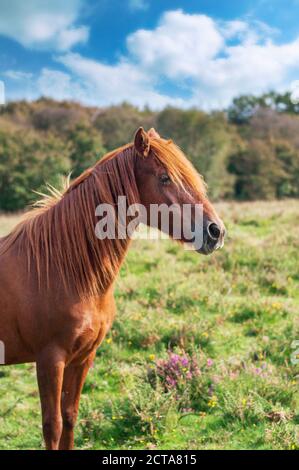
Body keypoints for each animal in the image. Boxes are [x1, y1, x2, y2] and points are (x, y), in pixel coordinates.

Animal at [0, 126, 225, 450]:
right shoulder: (50, 360)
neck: (60, 269)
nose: (215, 231)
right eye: (165, 177)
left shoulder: (83, 357)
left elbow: (69, 418)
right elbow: (52, 426)